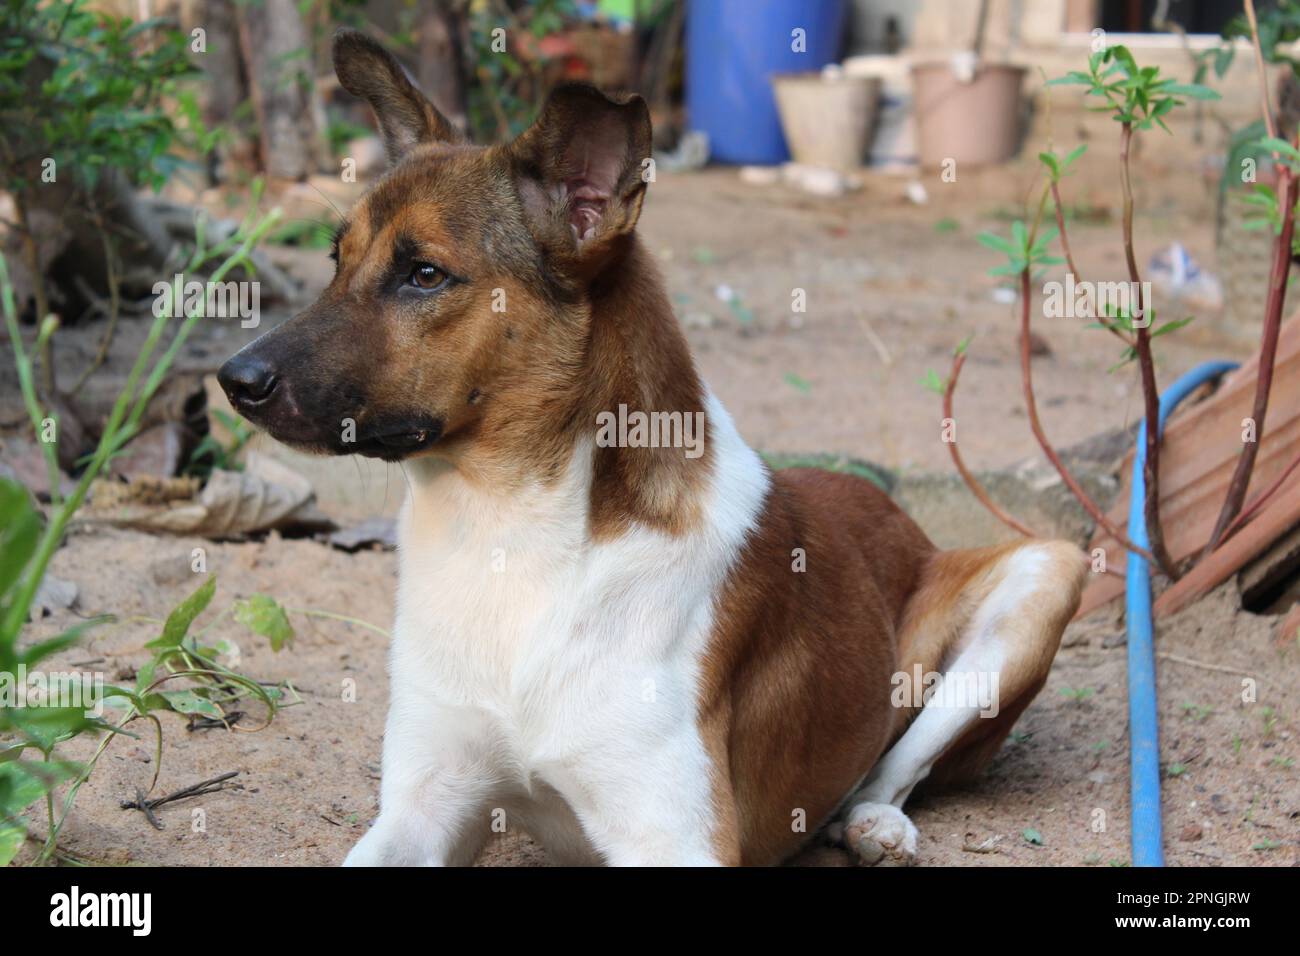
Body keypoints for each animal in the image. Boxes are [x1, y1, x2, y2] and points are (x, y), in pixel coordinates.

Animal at [220, 31, 1086, 868]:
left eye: (425, 275)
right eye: (336, 260)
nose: (235, 379)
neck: (507, 532)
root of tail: (900, 519)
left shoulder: (677, 840)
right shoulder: (422, 807)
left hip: (1049, 573)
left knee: (895, 765)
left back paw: (877, 823)